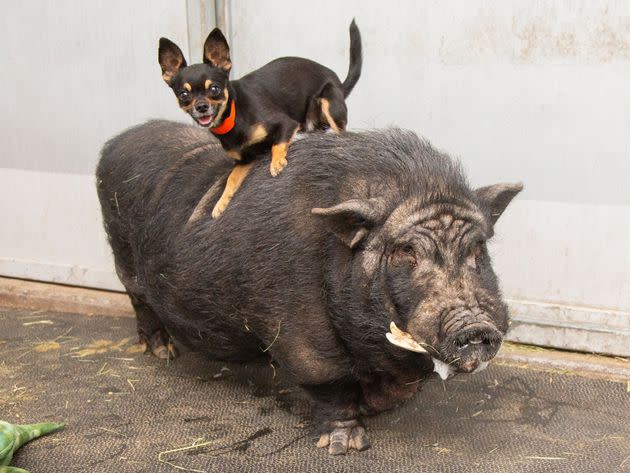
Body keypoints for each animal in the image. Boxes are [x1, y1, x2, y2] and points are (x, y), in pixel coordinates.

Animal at [97, 121, 524, 454]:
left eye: (478, 248)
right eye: (406, 251)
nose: (477, 327)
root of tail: (116, 141)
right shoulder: (299, 326)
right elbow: (329, 380)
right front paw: (346, 446)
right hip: (122, 252)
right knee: (140, 300)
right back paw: (162, 352)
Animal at [160, 19, 362, 217]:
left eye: (214, 89)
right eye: (184, 94)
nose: (201, 107)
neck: (233, 116)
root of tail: (339, 82)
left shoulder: (287, 124)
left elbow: (277, 144)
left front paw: (277, 162)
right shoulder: (244, 160)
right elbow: (231, 179)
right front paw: (221, 203)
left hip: (331, 105)